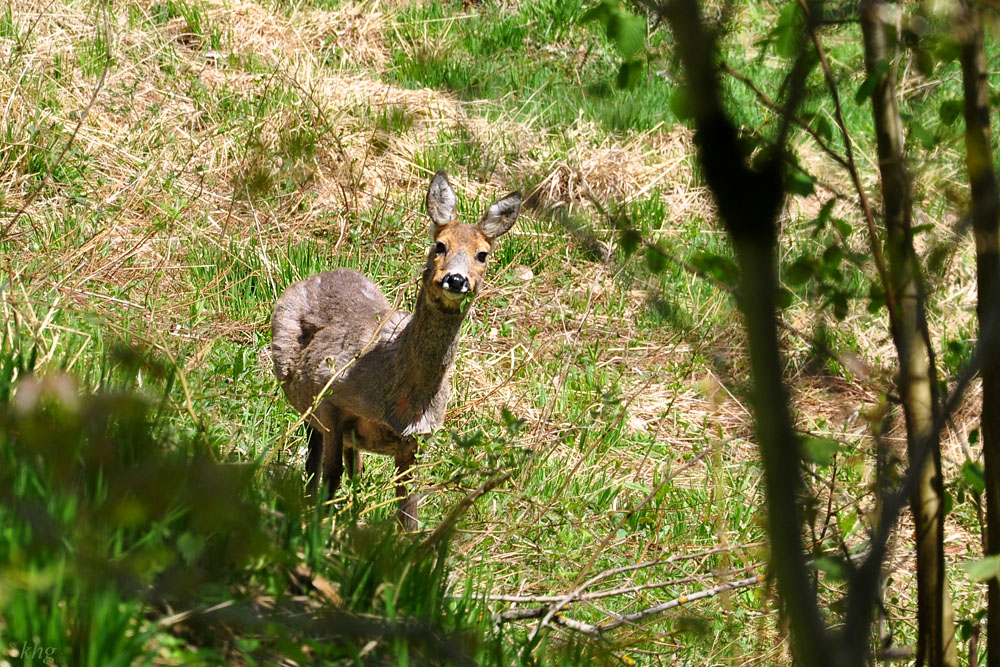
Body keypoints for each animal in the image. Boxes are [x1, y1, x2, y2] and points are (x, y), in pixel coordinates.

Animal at [270, 171, 521, 530]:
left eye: (482, 254)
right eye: (440, 245)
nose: (456, 280)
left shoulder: (415, 442)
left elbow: (408, 514)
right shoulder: (329, 399)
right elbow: (329, 479)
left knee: (355, 468)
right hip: (301, 396)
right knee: (318, 461)